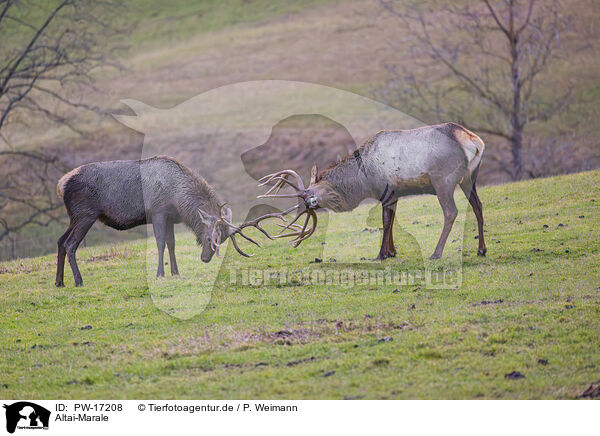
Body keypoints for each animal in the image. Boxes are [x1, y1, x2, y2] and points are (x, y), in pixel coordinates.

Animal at [55, 155, 276, 288]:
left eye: (220, 240)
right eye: (209, 238)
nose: (205, 258)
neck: (178, 200)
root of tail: (60, 184)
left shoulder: (170, 217)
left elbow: (172, 243)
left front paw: (175, 272)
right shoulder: (158, 212)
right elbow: (160, 243)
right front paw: (160, 274)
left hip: (75, 216)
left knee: (60, 241)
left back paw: (59, 282)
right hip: (85, 214)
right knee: (70, 244)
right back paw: (78, 281)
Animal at [258, 122, 488, 258]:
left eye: (309, 194)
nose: (308, 203)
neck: (363, 179)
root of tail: (474, 141)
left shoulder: (386, 191)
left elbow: (385, 222)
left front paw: (382, 254)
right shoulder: (395, 194)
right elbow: (392, 221)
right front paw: (392, 252)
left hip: (443, 181)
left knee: (451, 212)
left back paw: (436, 253)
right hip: (470, 179)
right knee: (478, 206)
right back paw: (481, 249)